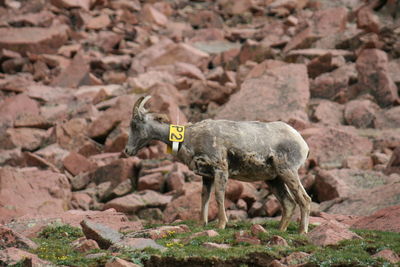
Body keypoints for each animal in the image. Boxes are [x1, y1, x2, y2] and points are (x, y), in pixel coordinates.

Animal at [125, 97, 312, 234]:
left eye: (134, 124)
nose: (127, 150)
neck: (189, 138)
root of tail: (302, 143)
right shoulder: (207, 176)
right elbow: (204, 197)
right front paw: (202, 223)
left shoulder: (220, 170)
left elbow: (219, 196)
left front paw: (221, 224)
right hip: (274, 179)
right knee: (289, 203)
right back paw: (280, 231)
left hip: (288, 172)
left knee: (304, 199)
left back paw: (302, 232)